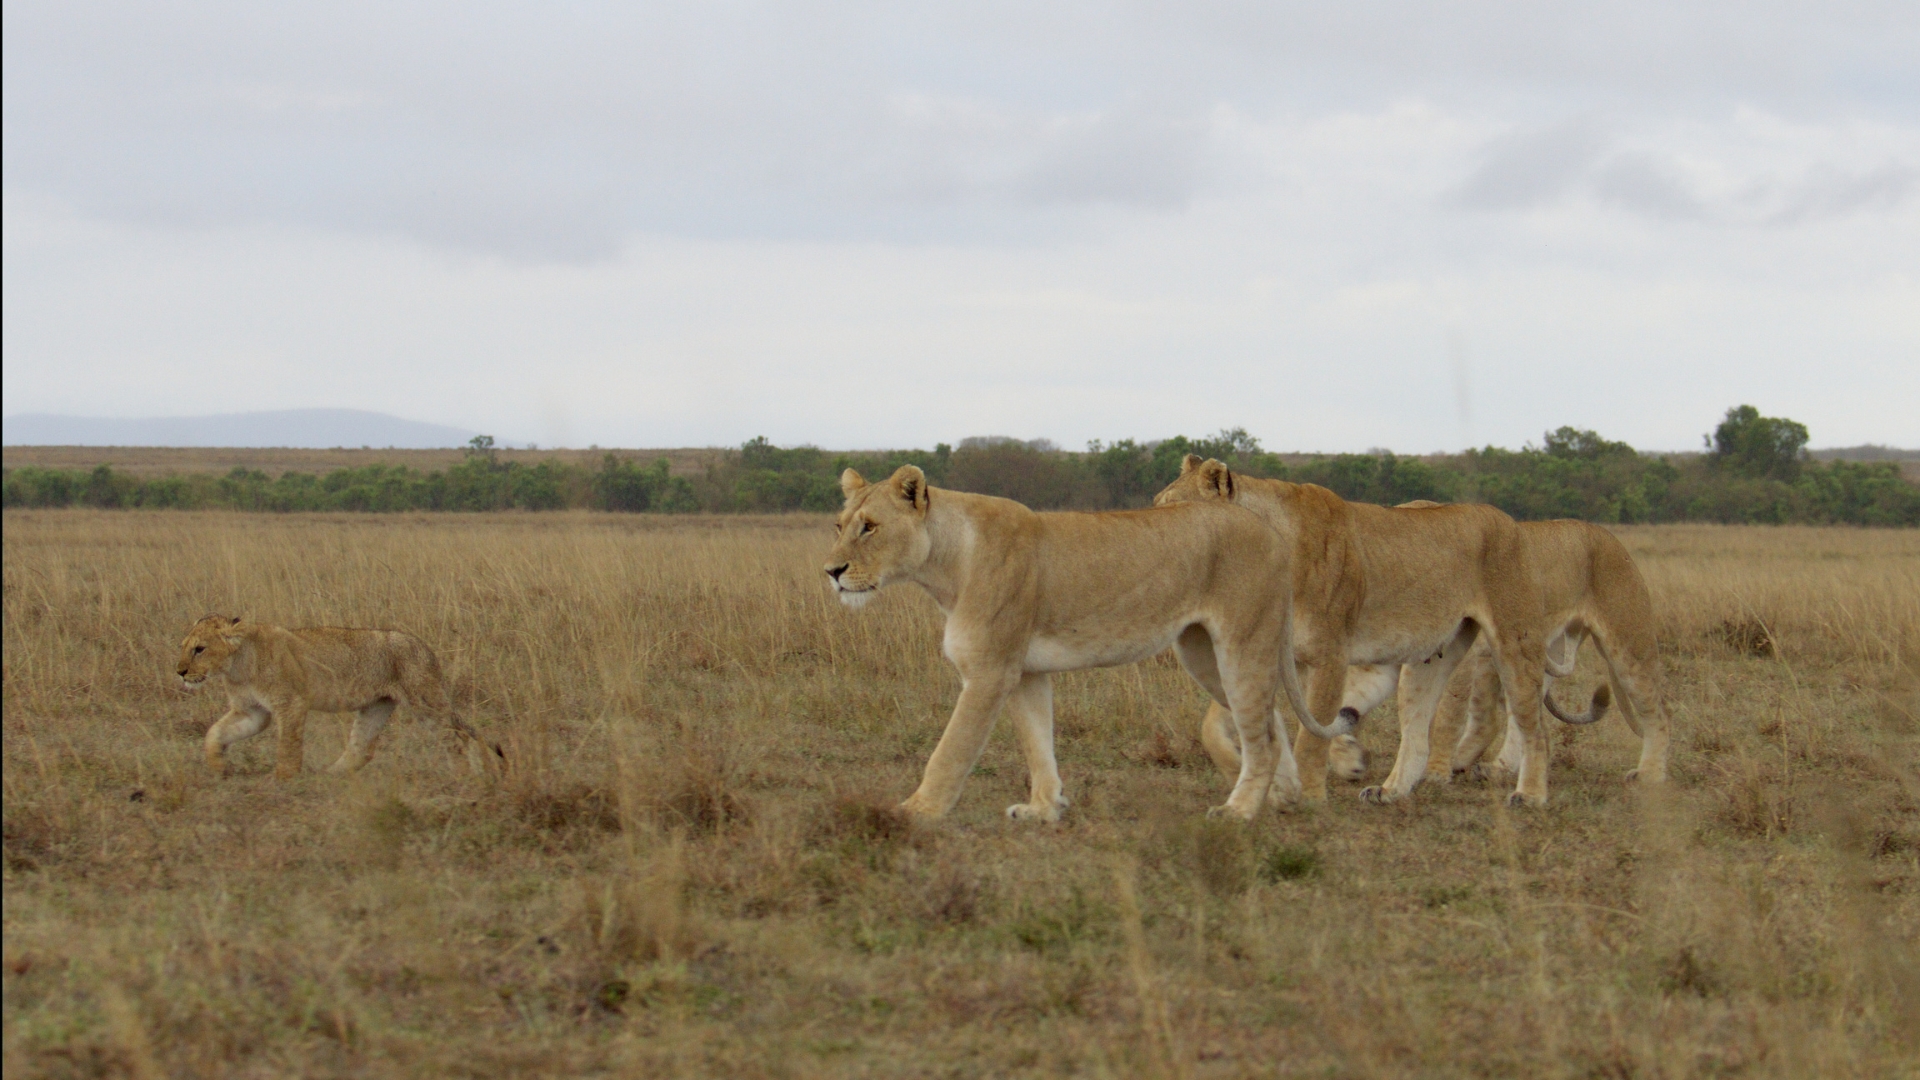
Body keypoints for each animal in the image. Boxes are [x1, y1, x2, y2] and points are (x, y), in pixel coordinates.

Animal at [175, 614, 503, 779]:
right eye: (183, 647)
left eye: (199, 649)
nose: (179, 672)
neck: (236, 666)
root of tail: (425, 648)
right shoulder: (252, 711)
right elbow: (215, 732)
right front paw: (217, 765)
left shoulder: (291, 703)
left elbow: (288, 745)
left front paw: (284, 778)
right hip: (376, 707)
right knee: (362, 748)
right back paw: (329, 775)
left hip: (426, 704)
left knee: (459, 737)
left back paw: (471, 775)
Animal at [824, 464, 1316, 822]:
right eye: (839, 525)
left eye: (870, 527)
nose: (831, 571)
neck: (944, 564)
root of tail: (1270, 531)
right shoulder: (1024, 672)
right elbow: (1037, 742)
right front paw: (1044, 810)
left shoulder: (990, 672)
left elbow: (951, 749)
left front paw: (916, 811)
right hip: (1202, 653)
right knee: (1271, 720)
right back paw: (1285, 796)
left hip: (1241, 642)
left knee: (1261, 732)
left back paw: (1240, 811)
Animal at [1155, 457, 1562, 807]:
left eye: (1177, 510)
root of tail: (1511, 522)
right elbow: (1214, 723)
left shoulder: (1329, 655)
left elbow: (1310, 738)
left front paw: (1310, 797)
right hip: (1426, 660)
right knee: (1416, 736)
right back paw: (1389, 791)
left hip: (1514, 642)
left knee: (1535, 728)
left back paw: (1530, 795)